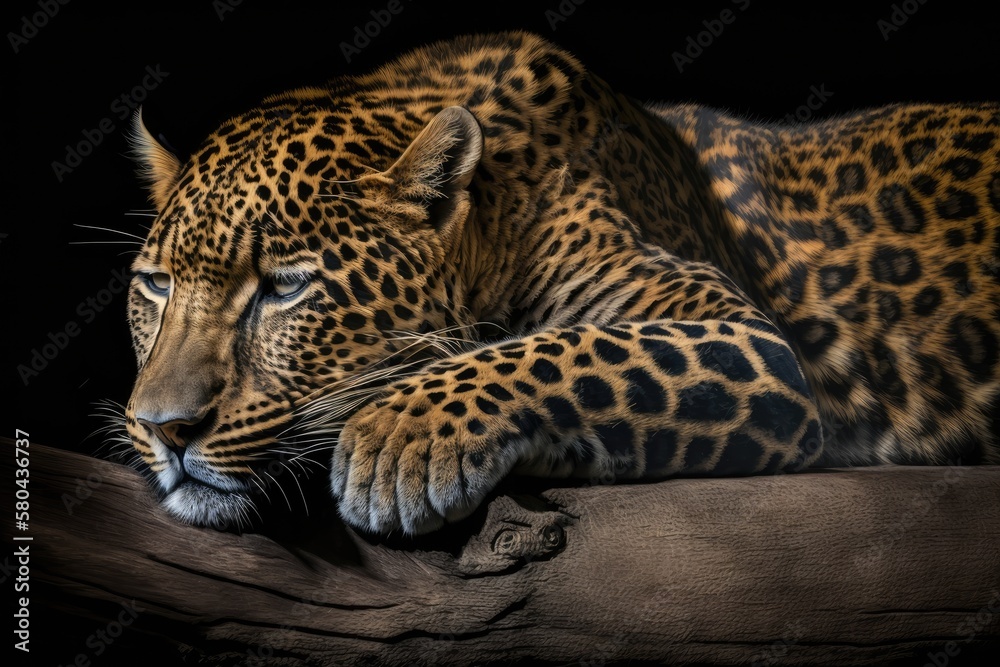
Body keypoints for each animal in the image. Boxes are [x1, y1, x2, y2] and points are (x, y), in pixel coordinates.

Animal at [121, 31, 1000, 535]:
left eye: (284, 287)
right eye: (157, 285)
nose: (167, 429)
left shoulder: (747, 339)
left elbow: (569, 347)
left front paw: (398, 436)